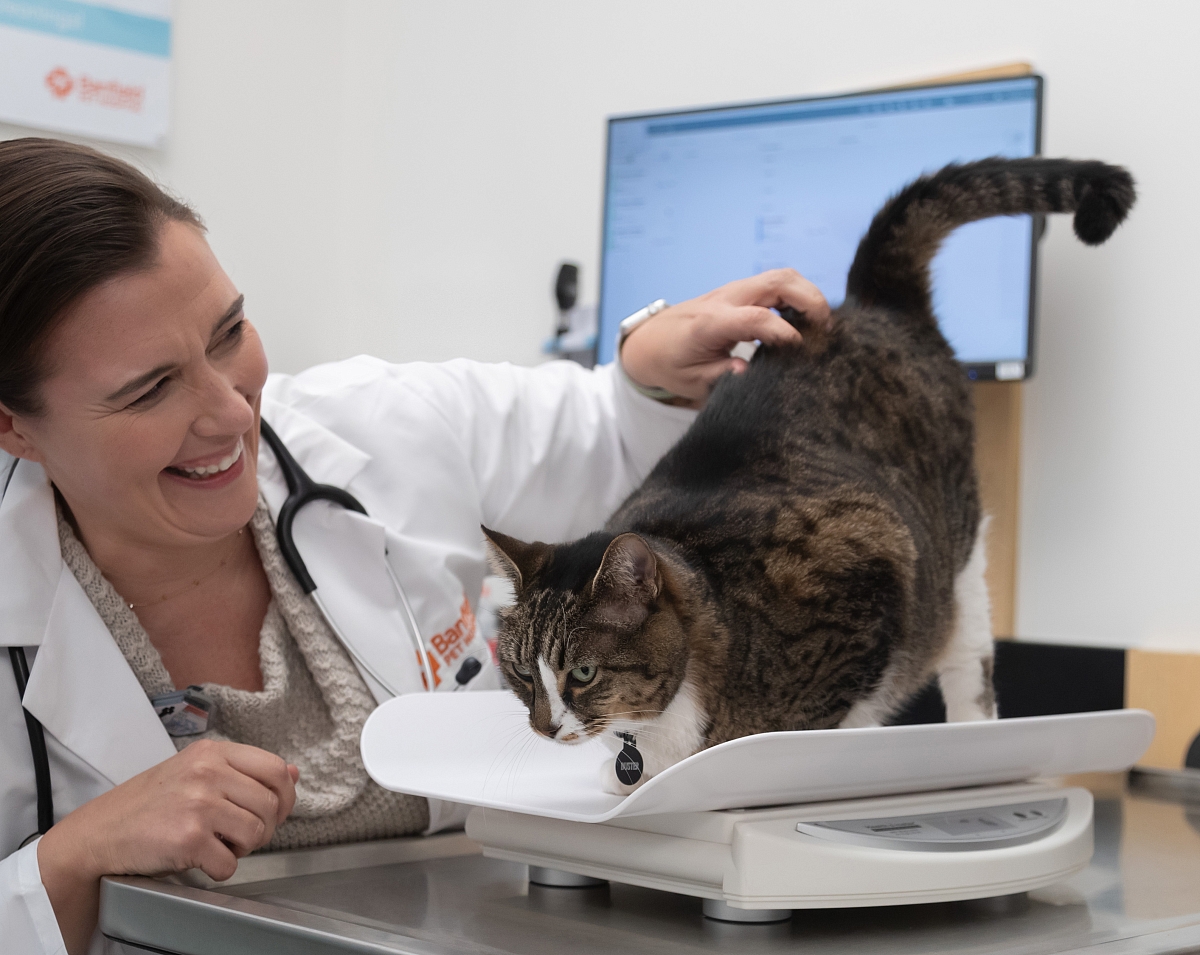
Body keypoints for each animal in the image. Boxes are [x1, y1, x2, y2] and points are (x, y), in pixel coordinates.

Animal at [484, 157, 1132, 796]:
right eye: (520, 673)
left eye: (583, 672)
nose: (545, 727)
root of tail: (869, 301)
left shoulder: (869, 569)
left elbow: (825, 719)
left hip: (953, 552)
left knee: (968, 654)